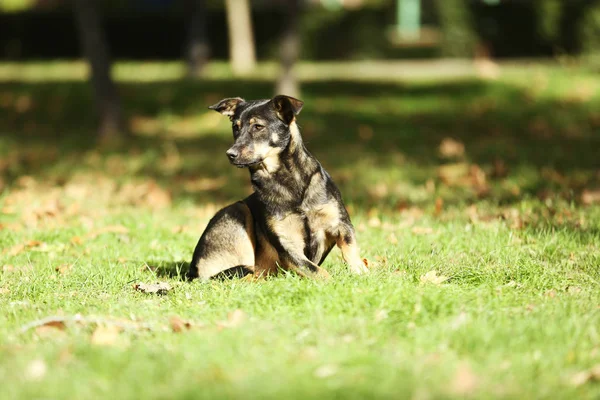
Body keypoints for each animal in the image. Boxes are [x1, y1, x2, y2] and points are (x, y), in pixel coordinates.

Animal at [188, 95, 368, 280]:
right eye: (235, 127)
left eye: (258, 126)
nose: (230, 154)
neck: (287, 181)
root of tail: (192, 270)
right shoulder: (287, 245)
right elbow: (318, 271)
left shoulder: (341, 223)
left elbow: (351, 249)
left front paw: (361, 274)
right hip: (237, 210)